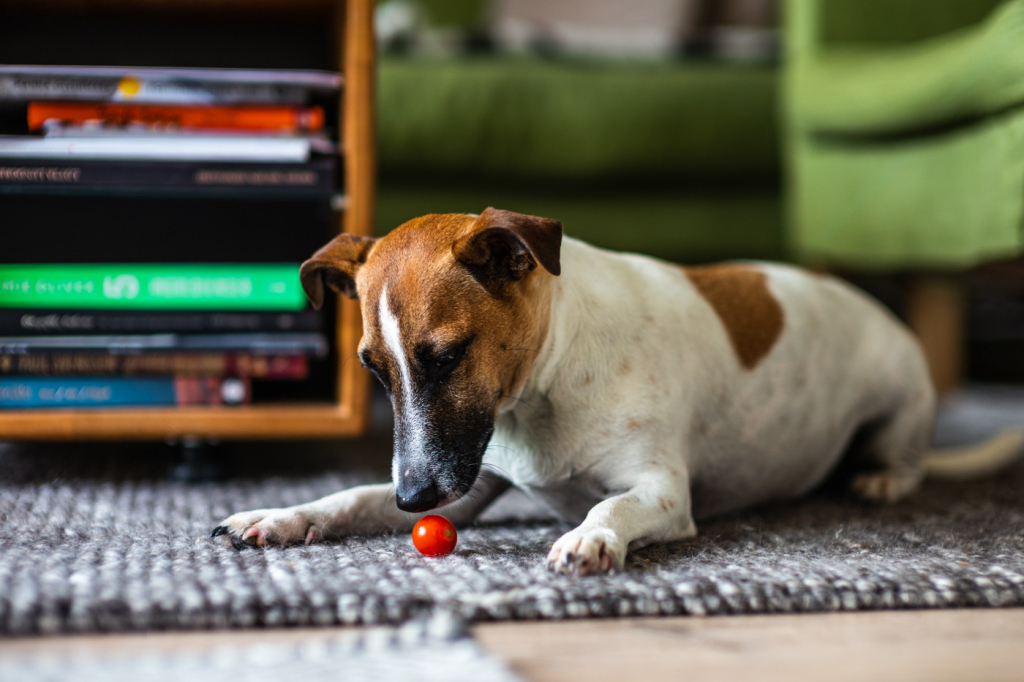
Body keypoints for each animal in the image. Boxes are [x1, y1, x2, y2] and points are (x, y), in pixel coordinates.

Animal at [211, 206, 1019, 573]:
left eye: (445, 356)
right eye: (374, 369)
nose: (413, 501)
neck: (544, 387)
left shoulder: (661, 492)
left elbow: (612, 504)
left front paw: (590, 535)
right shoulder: (466, 483)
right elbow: (348, 497)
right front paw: (280, 515)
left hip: (901, 406)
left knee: (904, 458)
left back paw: (882, 478)